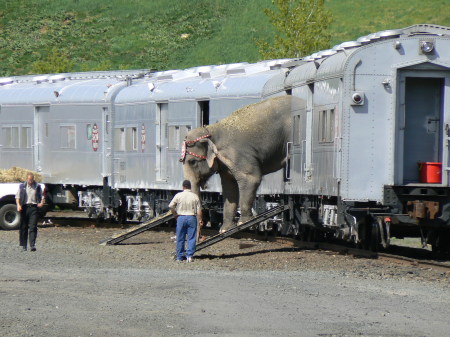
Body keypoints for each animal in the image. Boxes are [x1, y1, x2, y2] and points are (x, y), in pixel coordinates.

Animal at [179, 94, 298, 231]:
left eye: (192, 162)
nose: (201, 223)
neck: (210, 130)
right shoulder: (225, 165)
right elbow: (229, 187)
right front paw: (225, 229)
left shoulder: (237, 155)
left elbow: (251, 178)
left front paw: (243, 223)